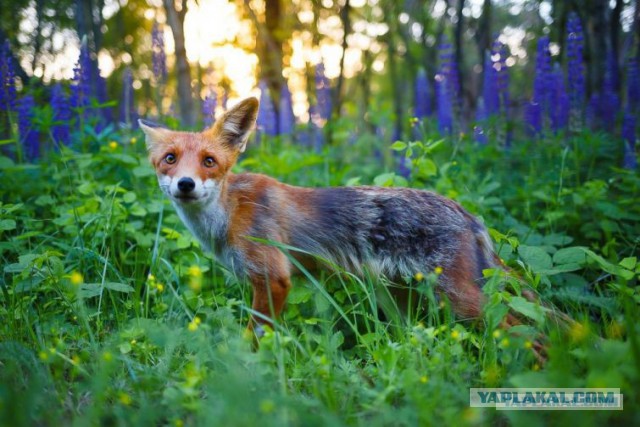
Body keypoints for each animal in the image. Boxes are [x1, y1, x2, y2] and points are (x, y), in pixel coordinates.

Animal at [139, 97, 500, 338]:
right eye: (170, 159)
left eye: (209, 161)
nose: (186, 184)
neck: (228, 214)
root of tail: (465, 212)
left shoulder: (273, 279)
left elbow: (254, 337)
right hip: (399, 298)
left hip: (457, 298)